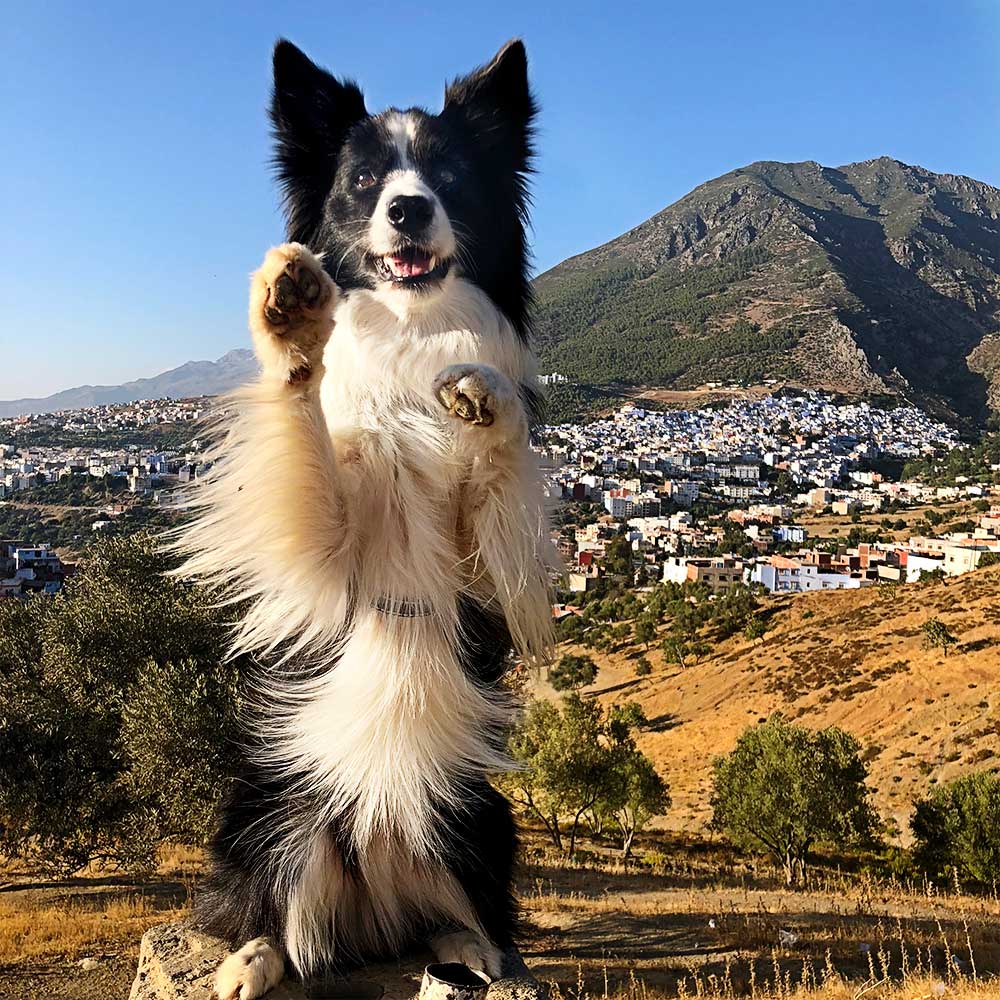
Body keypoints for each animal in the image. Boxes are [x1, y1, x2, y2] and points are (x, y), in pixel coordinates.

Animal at [178, 37, 556, 1000]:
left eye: (450, 173)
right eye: (363, 180)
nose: (410, 207)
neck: (412, 334)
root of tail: (373, 890)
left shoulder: (490, 579)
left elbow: (500, 467)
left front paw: (485, 399)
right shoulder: (321, 551)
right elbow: (300, 418)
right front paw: (289, 324)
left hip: (479, 817)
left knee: (455, 915)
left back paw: (468, 948)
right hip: (268, 808)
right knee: (268, 906)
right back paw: (250, 958)